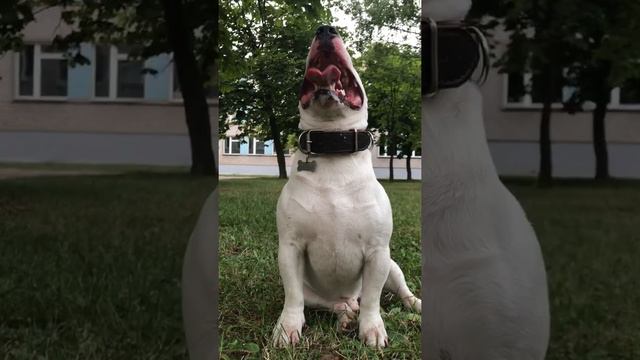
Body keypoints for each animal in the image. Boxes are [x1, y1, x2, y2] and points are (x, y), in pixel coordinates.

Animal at [272, 23, 422, 348]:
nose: (325, 29)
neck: (333, 145)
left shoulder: (378, 253)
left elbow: (373, 300)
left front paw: (372, 328)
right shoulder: (290, 248)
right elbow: (292, 296)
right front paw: (287, 327)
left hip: (392, 267)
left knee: (395, 292)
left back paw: (413, 303)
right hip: (317, 294)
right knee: (328, 303)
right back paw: (344, 315)